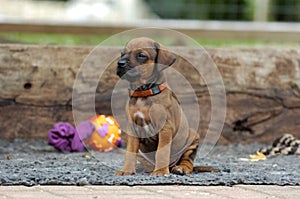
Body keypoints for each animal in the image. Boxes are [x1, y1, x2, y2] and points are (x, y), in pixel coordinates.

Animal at [115, 37, 218, 176]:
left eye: (141, 55)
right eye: (122, 53)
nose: (120, 63)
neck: (144, 93)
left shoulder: (165, 128)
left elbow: (162, 152)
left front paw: (160, 171)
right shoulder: (133, 128)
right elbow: (130, 152)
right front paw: (126, 170)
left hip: (192, 139)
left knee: (188, 162)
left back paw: (180, 168)